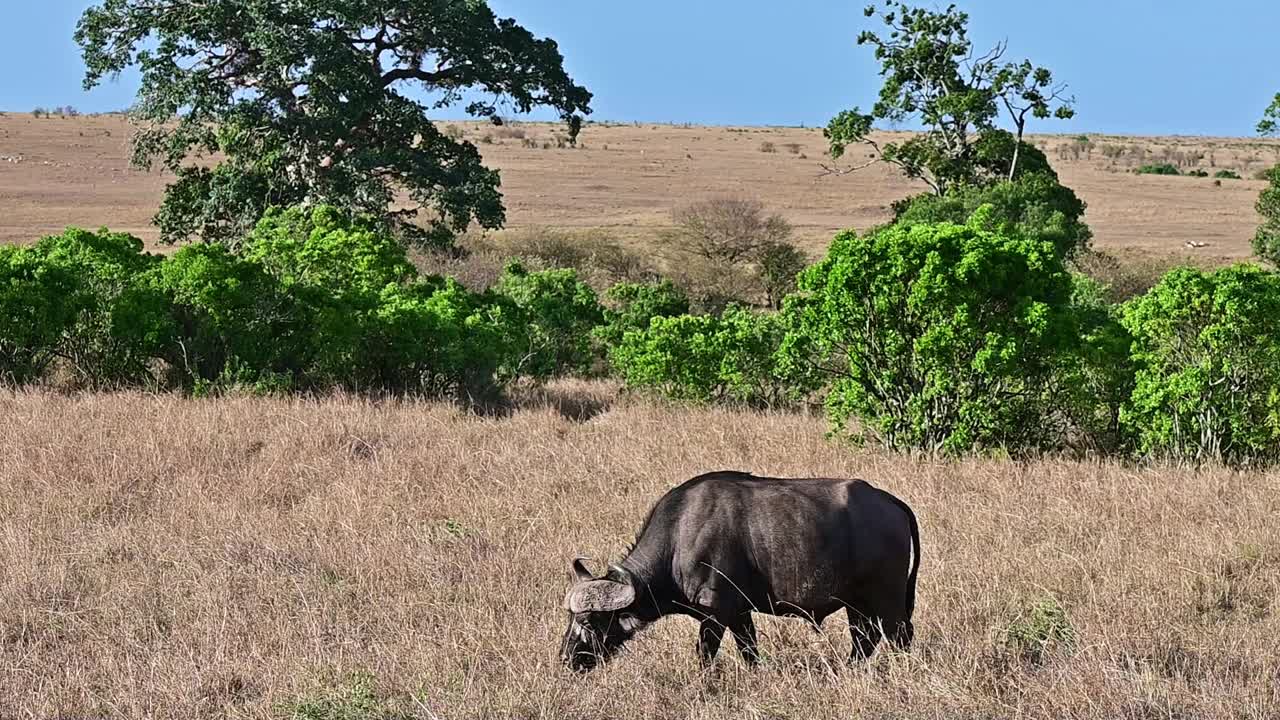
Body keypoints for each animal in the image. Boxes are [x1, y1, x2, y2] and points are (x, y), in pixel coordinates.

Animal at [560, 468, 921, 671]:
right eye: (570, 618)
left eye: (588, 622)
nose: (567, 658)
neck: (679, 538)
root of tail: (888, 501)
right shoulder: (739, 614)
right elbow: (750, 652)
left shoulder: (718, 613)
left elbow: (706, 655)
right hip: (855, 603)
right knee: (864, 639)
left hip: (887, 599)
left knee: (898, 636)